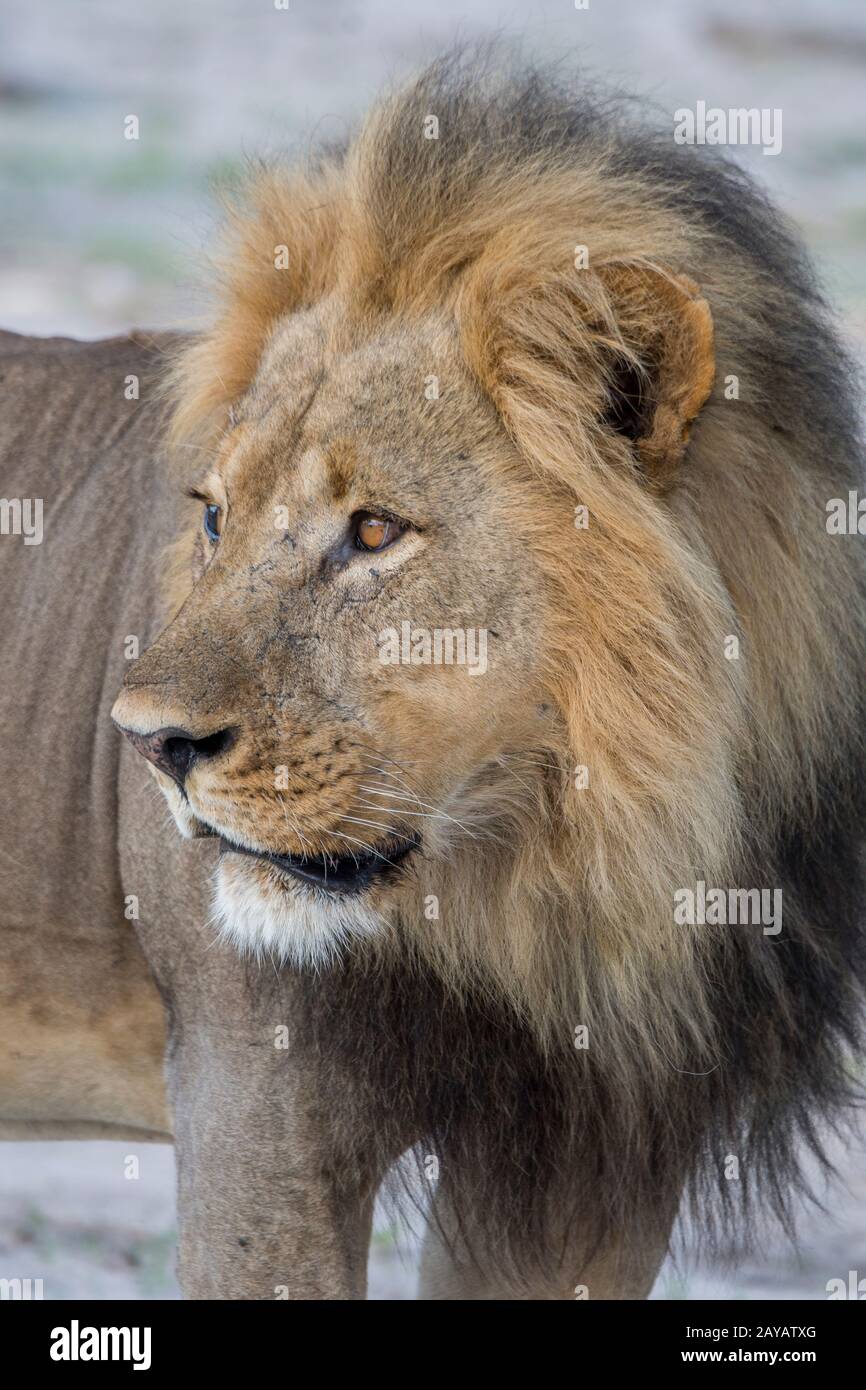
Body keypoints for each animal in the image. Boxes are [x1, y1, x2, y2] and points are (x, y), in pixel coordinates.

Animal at [2, 49, 865, 1300]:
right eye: (213, 515)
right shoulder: (255, 1099)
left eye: (372, 532)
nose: (149, 745)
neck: (544, 886)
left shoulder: (593, 1167)